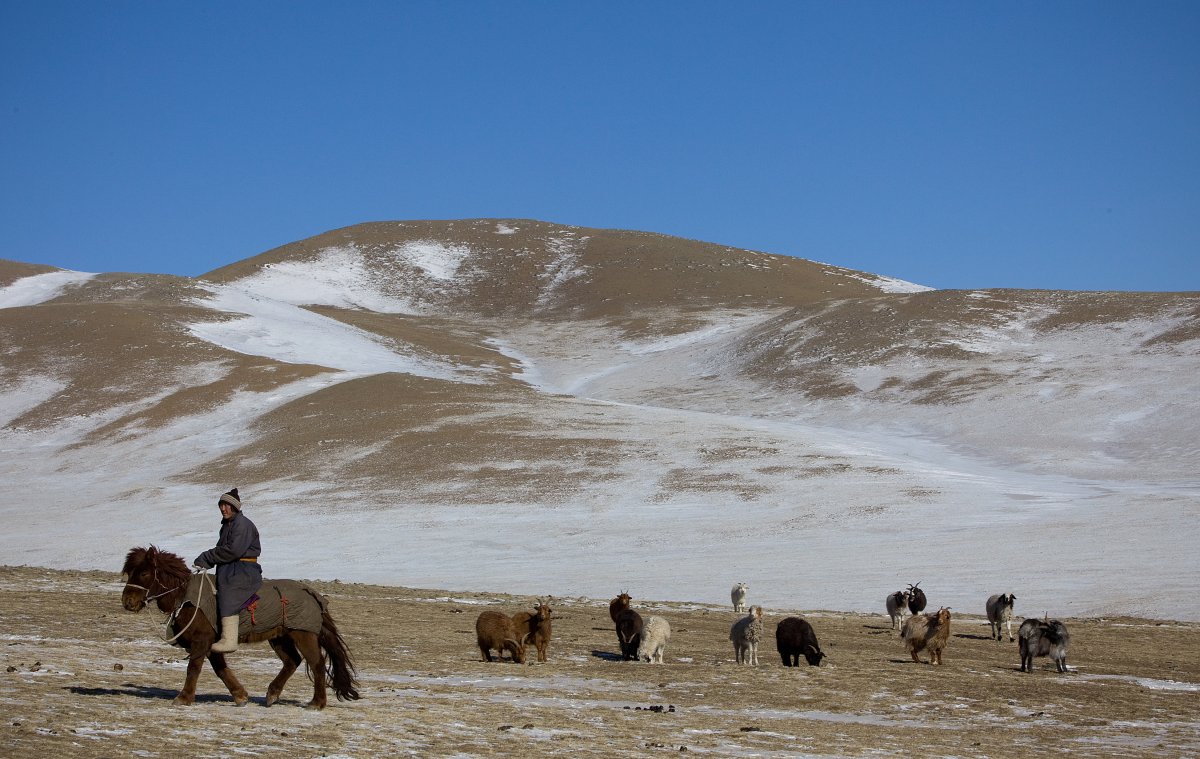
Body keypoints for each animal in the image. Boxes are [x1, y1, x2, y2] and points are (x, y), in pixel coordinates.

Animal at [124, 542, 362, 710]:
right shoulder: (211, 643)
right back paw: (272, 694)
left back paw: (316, 703)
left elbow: (194, 668)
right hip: (280, 637)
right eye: (129, 572)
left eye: (144, 573)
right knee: (292, 661)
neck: (186, 597)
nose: (127, 602)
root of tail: (312, 594)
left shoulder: (202, 640)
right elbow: (220, 669)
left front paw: (183, 698)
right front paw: (240, 696)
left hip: (303, 634)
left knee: (316, 663)